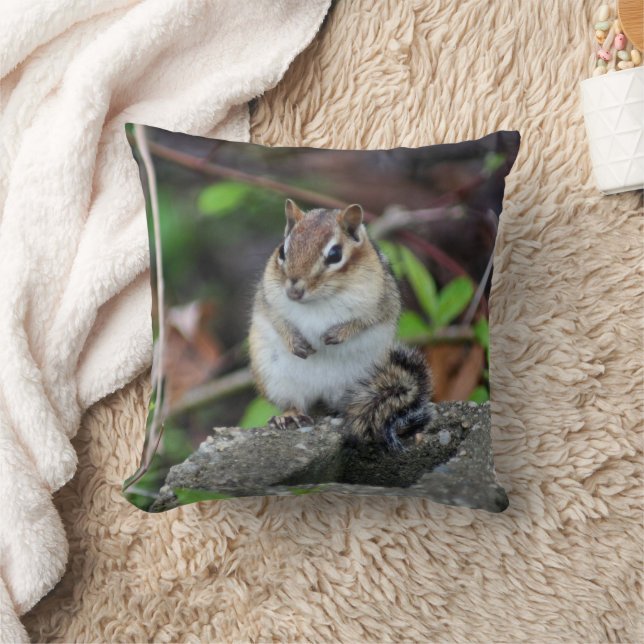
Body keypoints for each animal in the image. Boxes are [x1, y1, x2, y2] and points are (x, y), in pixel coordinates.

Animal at [248, 198, 434, 451]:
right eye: (282, 251)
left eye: (335, 255)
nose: (294, 291)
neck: (319, 300)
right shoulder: (268, 298)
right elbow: (278, 320)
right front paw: (295, 342)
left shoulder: (382, 302)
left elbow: (366, 320)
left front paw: (338, 334)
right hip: (275, 378)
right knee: (293, 402)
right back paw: (290, 416)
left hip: (364, 380)